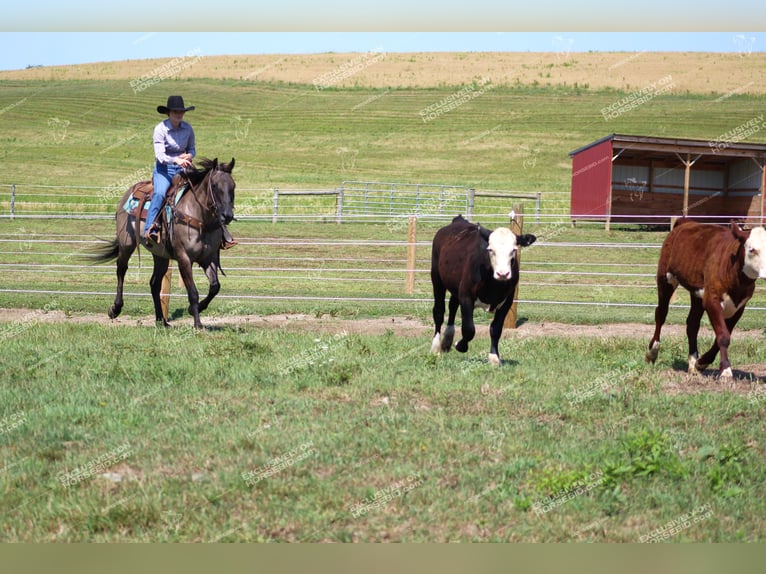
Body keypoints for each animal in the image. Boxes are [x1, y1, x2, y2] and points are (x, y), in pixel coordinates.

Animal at [428, 214, 536, 366]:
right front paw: (460, 345)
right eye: (490, 250)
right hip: (436, 278)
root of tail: (458, 220)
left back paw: (447, 340)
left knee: (453, 305)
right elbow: (469, 329)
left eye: (514, 250)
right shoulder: (466, 296)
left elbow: (496, 329)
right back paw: (436, 347)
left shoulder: (507, 301)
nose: (503, 273)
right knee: (439, 311)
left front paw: (494, 356)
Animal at [648, 218, 766, 380]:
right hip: (665, 278)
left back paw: (693, 363)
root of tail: (685, 221)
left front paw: (701, 363)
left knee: (692, 323)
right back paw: (652, 352)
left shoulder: (739, 306)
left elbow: (723, 334)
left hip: (697, 293)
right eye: (752, 250)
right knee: (661, 313)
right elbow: (723, 335)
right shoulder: (712, 299)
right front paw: (725, 370)